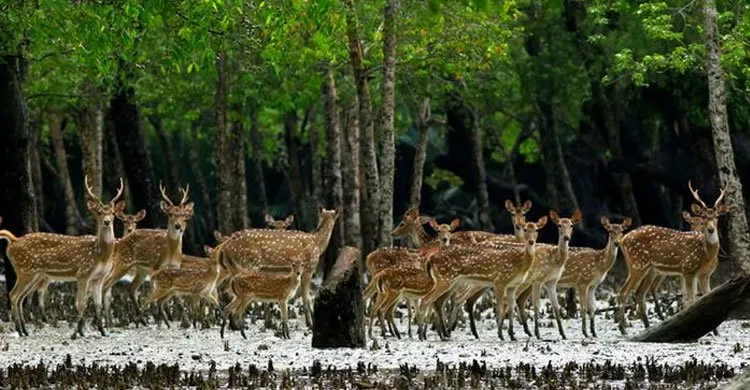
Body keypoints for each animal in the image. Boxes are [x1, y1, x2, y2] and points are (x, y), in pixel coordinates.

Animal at [0, 175, 125, 336]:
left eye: (113, 213)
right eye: (99, 212)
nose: (107, 221)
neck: (101, 255)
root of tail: (13, 241)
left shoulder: (99, 278)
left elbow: (97, 304)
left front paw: (103, 332)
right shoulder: (83, 273)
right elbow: (80, 303)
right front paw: (77, 333)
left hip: (34, 274)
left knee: (21, 297)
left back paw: (24, 330)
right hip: (25, 270)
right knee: (14, 295)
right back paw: (20, 331)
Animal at [101, 183, 195, 326]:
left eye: (184, 215)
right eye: (170, 214)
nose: (178, 226)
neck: (171, 252)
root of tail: (120, 241)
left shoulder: (175, 268)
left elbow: (177, 296)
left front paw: (184, 322)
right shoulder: (156, 267)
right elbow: (156, 296)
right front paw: (161, 321)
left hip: (141, 270)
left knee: (130, 288)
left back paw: (140, 320)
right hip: (123, 263)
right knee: (107, 284)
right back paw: (109, 321)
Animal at [414, 218, 548, 340]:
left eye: (536, 229)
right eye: (525, 229)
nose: (531, 241)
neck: (520, 263)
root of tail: (431, 259)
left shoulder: (512, 285)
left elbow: (510, 307)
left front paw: (512, 335)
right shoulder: (500, 281)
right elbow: (499, 308)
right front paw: (501, 335)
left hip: (450, 281)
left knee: (438, 301)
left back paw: (442, 334)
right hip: (445, 279)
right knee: (426, 300)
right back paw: (422, 334)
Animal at [616, 181, 728, 334]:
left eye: (717, 216)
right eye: (704, 216)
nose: (711, 229)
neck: (707, 255)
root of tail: (623, 239)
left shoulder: (704, 274)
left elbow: (707, 296)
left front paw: (715, 331)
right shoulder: (688, 269)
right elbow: (691, 299)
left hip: (649, 269)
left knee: (639, 293)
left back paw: (647, 326)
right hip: (638, 264)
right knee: (623, 291)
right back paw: (623, 329)